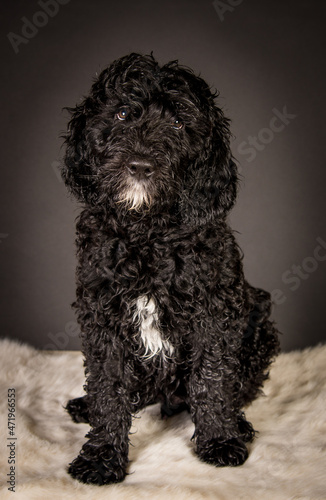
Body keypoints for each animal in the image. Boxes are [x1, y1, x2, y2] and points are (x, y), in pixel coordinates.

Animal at [61, 51, 280, 484]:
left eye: (179, 123)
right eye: (123, 113)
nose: (141, 166)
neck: (147, 232)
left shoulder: (215, 310)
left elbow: (212, 379)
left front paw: (219, 439)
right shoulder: (102, 313)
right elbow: (109, 385)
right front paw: (102, 455)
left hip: (260, 321)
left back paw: (237, 424)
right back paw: (87, 405)